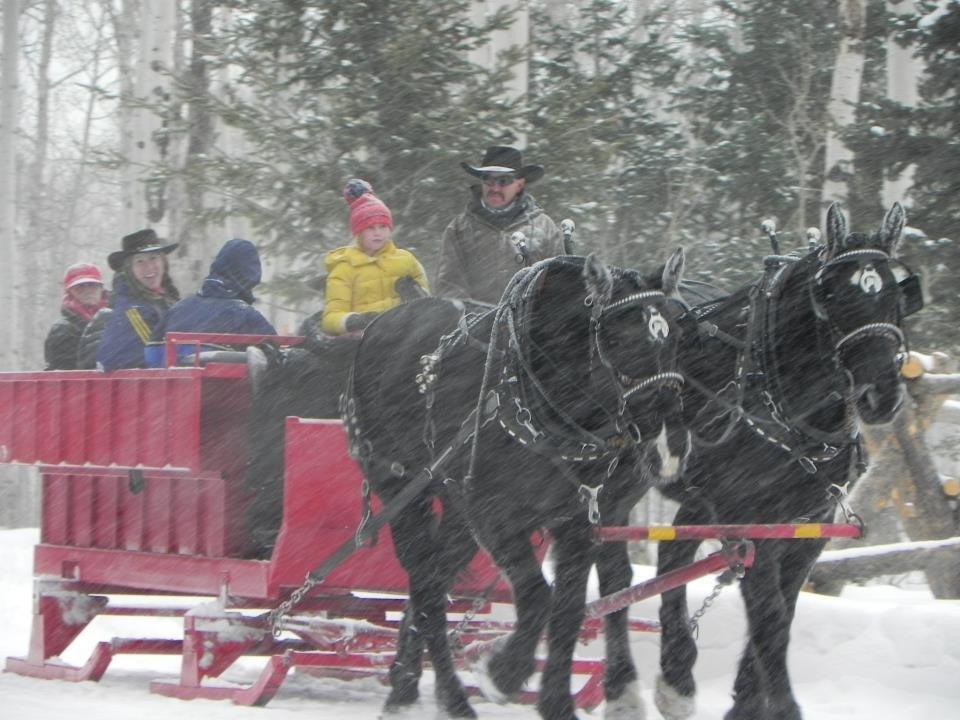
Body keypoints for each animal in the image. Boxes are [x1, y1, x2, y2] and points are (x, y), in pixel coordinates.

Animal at [348, 250, 692, 716]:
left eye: (675, 335)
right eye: (619, 340)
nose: (668, 446)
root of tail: (380, 325)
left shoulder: (581, 521)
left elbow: (567, 610)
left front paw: (556, 701)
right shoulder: (495, 516)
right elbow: (537, 597)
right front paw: (502, 672)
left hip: (457, 511)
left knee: (431, 584)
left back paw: (404, 686)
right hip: (402, 493)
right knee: (426, 586)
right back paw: (452, 698)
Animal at [656, 202, 920, 720]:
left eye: (895, 293)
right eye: (832, 295)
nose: (881, 395)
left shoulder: (806, 526)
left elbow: (786, 605)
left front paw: (745, 702)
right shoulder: (750, 521)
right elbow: (770, 614)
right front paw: (781, 706)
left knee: (670, 554)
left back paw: (676, 673)